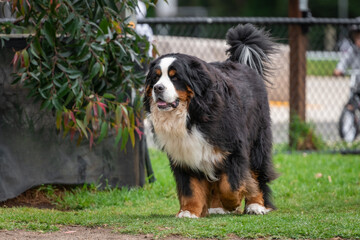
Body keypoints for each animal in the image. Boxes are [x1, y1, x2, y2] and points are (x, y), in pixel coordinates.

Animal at [143, 23, 278, 218]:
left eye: (175, 77)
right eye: (155, 77)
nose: (158, 88)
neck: (192, 114)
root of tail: (242, 64)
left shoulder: (233, 148)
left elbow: (230, 185)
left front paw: (233, 203)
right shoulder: (183, 153)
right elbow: (190, 187)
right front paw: (189, 211)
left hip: (257, 141)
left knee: (257, 173)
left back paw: (256, 205)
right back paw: (217, 207)